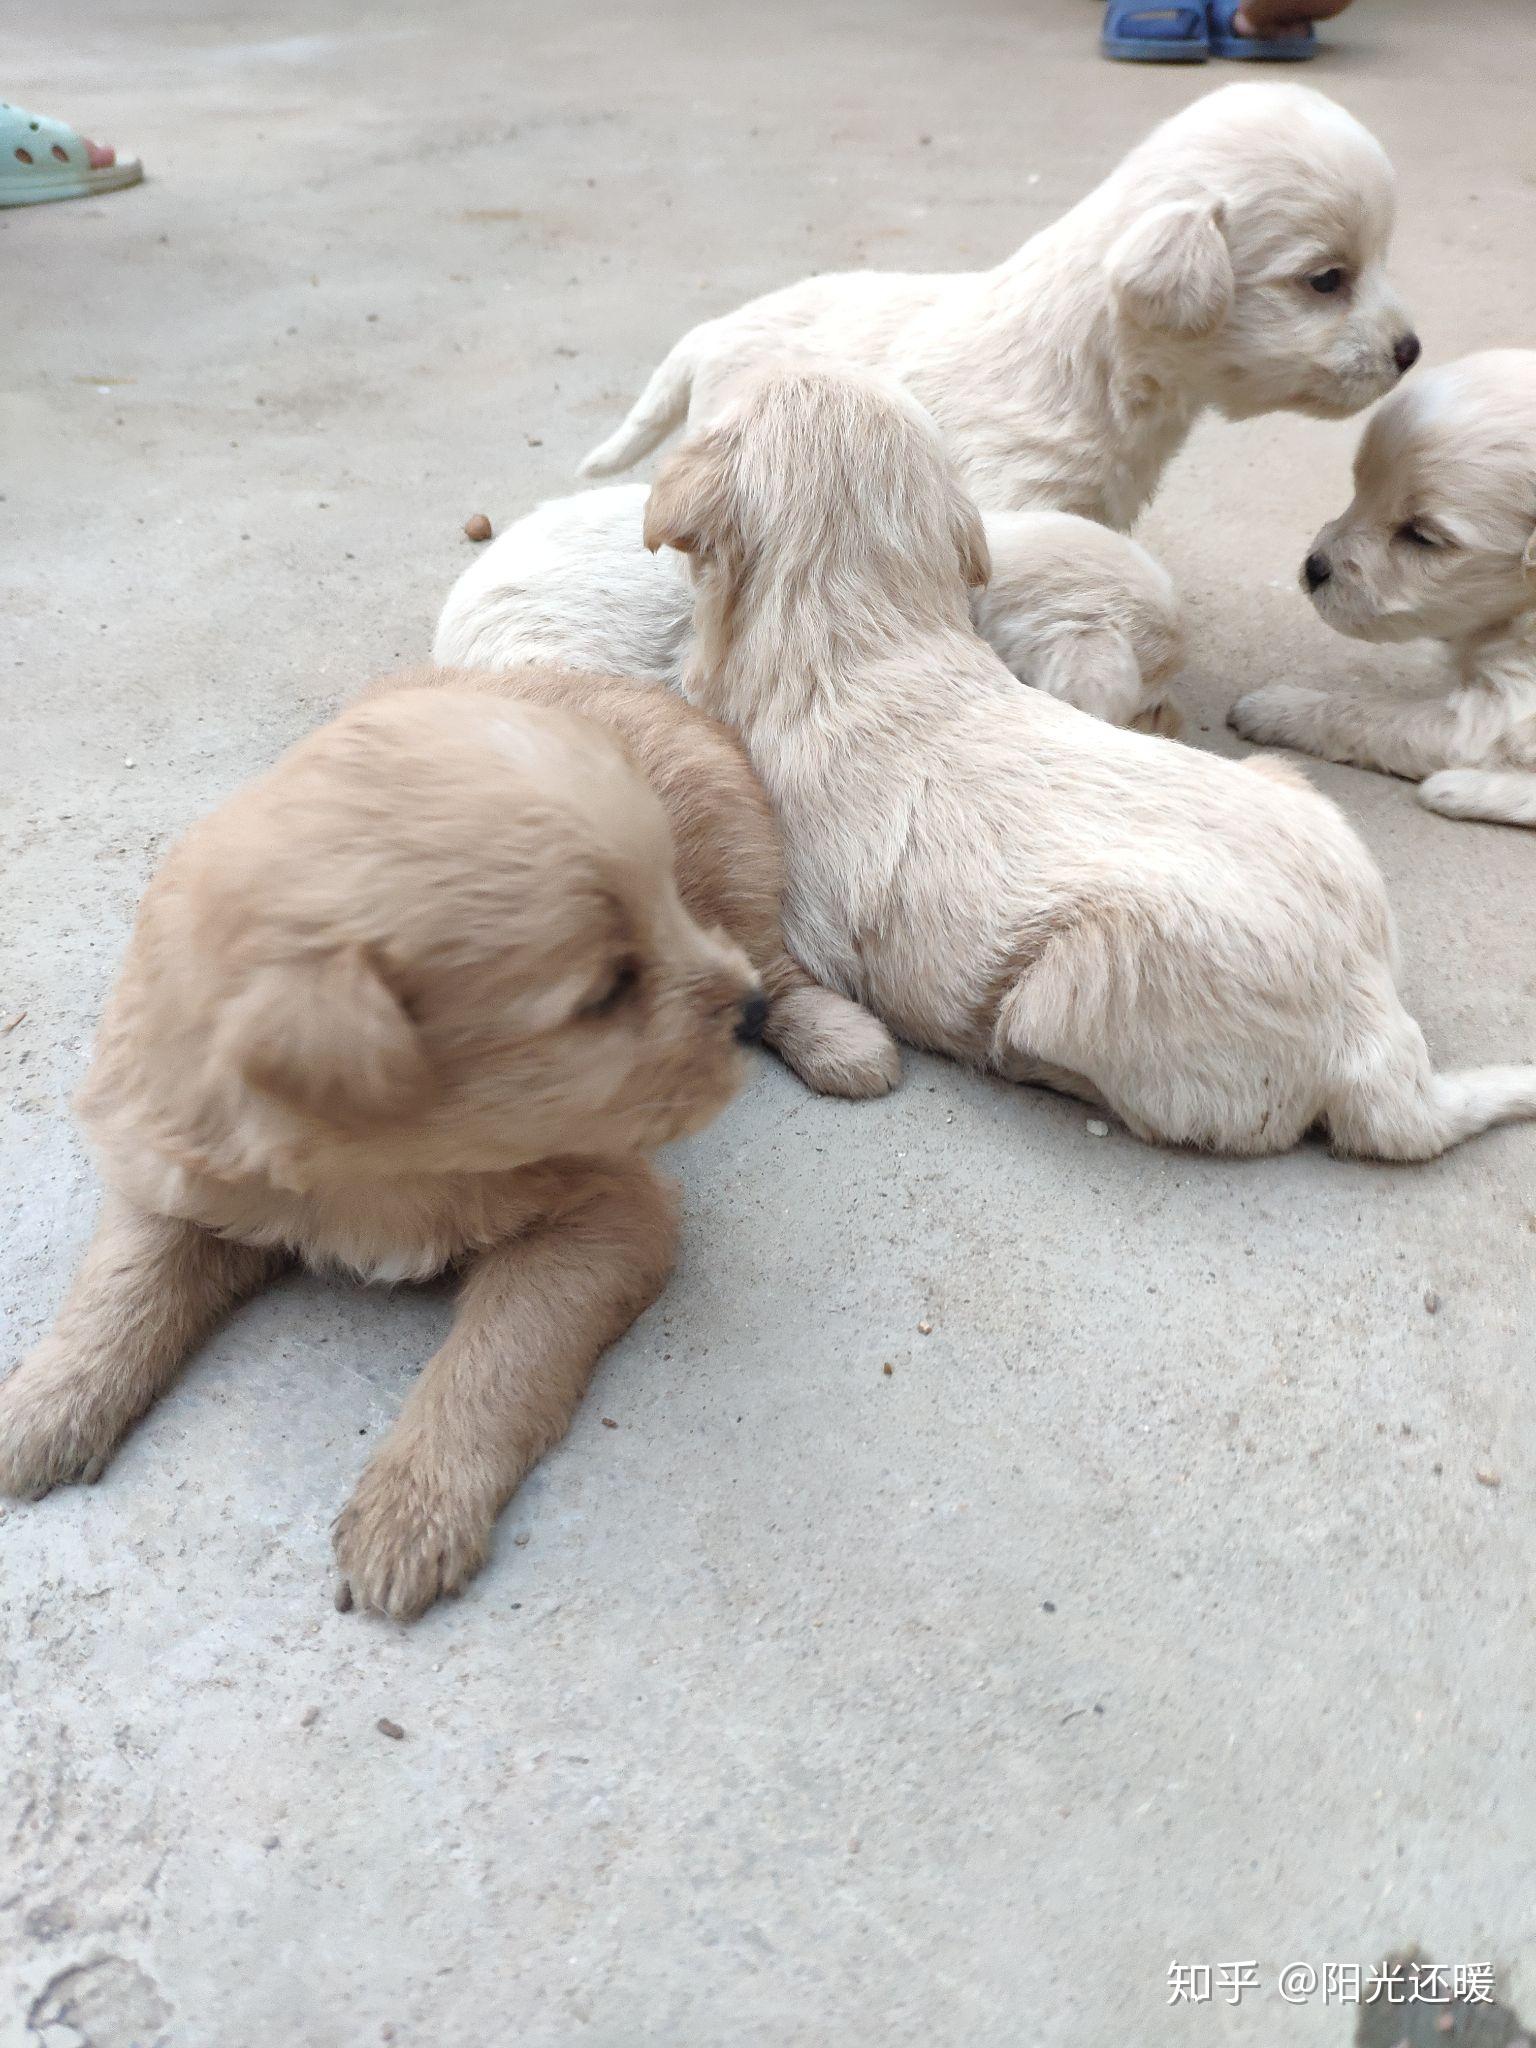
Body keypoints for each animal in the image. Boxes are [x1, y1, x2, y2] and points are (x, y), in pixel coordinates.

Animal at [0, 679, 897, 1622]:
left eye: (655, 923)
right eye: (605, 992)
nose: (742, 1019)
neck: (395, 1160)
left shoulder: (608, 1214)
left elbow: (496, 1359)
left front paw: (412, 1512)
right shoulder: (175, 1165)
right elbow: (124, 1284)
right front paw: (45, 1404)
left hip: (735, 858)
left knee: (775, 958)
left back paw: (836, 1037)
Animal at [1236, 356, 1536, 827]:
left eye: (1422, 537)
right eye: (1359, 489)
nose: (1313, 568)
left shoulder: (1494, 714)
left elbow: (1360, 713)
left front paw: (1276, 708)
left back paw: (1453, 788)